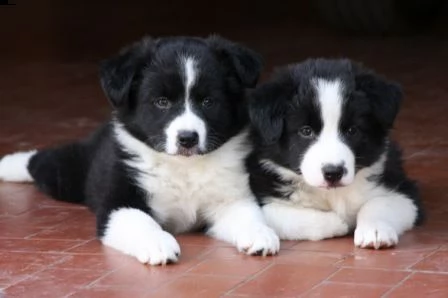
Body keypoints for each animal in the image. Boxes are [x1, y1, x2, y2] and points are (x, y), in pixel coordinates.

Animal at [0, 35, 278, 266]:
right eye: (162, 102)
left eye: (208, 101)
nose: (187, 138)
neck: (183, 168)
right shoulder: (120, 201)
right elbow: (140, 221)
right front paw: (158, 244)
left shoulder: (229, 198)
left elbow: (248, 214)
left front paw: (261, 234)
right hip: (69, 177)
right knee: (43, 162)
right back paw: (8, 163)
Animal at [248, 58, 424, 249]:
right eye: (306, 131)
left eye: (352, 130)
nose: (333, 173)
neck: (332, 194)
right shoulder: (263, 195)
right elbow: (289, 217)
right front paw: (338, 222)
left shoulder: (406, 192)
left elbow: (378, 203)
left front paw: (375, 230)